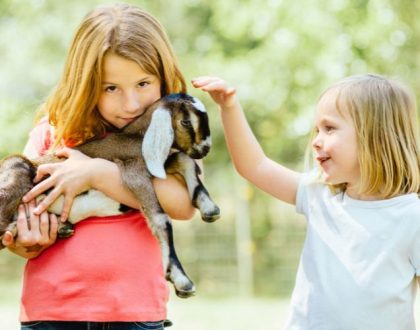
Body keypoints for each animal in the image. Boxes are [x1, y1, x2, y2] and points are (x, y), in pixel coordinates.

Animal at [0, 92, 220, 296]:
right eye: (186, 121)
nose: (205, 150)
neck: (135, 138)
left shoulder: (157, 165)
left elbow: (184, 159)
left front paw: (209, 208)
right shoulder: (133, 172)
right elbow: (160, 219)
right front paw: (181, 279)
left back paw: (61, 228)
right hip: (16, 170)